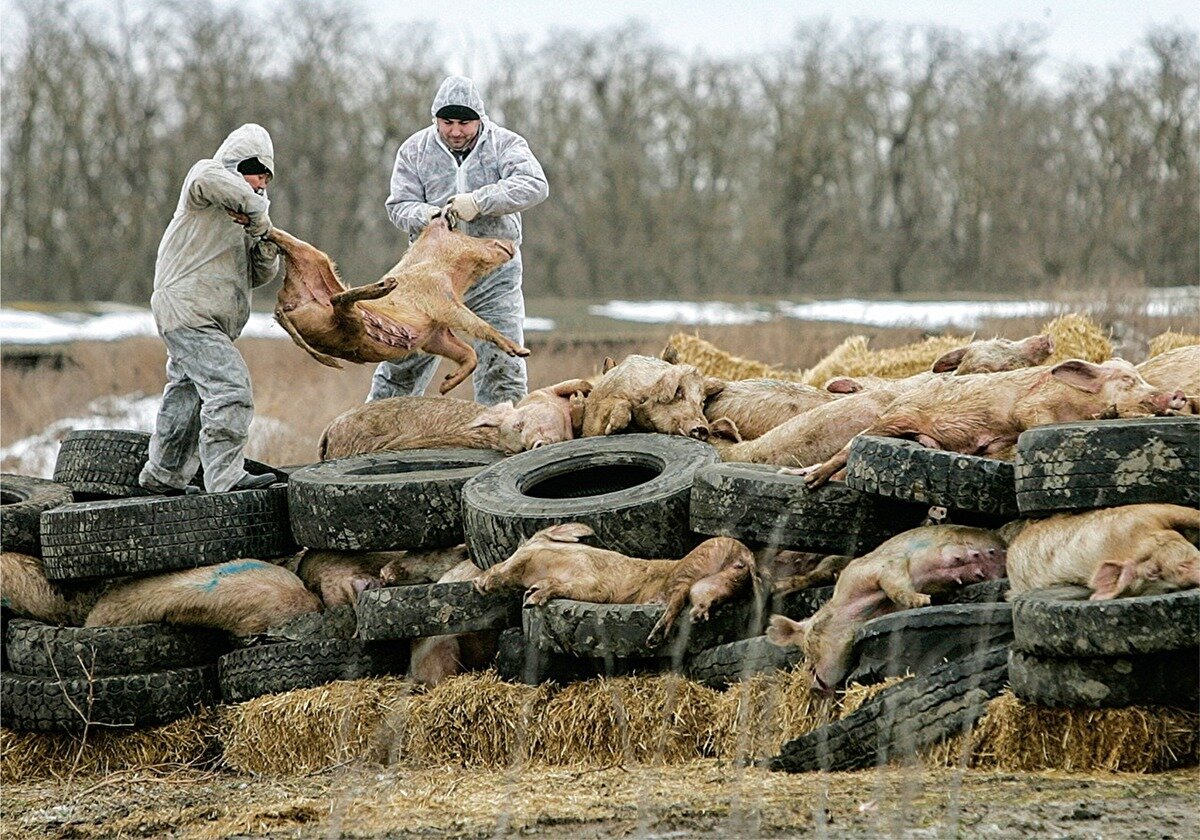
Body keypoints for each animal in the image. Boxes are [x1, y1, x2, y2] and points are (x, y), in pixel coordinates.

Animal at [267, 219, 530, 396]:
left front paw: (444, 387)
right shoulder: (439, 298)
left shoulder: (435, 335)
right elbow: (477, 323)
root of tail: (284, 305)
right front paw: (521, 351)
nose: (509, 243)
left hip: (317, 263)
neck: (453, 275)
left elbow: (468, 353)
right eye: (460, 232)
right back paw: (385, 286)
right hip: (347, 324)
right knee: (339, 301)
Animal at [472, 520, 753, 648]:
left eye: (520, 549)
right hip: (714, 584)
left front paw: (531, 599)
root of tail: (743, 554)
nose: (476, 581)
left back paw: (653, 636)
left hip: (690, 566)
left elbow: (567, 587)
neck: (555, 565)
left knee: (677, 597)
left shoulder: (595, 582)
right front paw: (531, 592)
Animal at [763, 525, 1008, 696]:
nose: (813, 687)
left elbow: (893, 583)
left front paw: (922, 601)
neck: (863, 612)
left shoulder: (876, 567)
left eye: (809, 647)